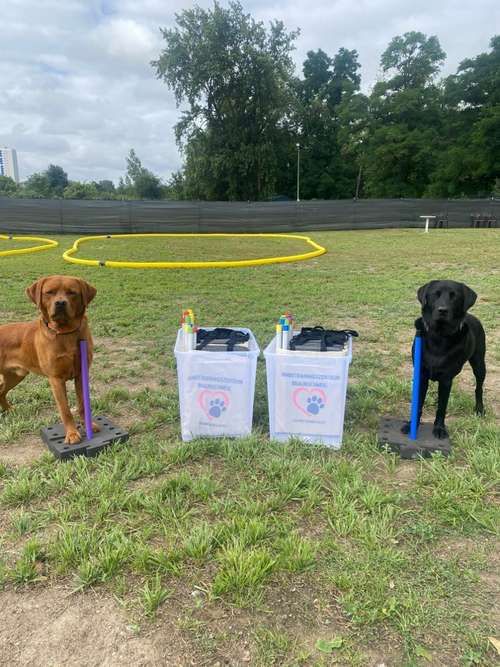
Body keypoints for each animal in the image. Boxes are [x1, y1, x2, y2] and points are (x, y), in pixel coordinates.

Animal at [0, 276, 99, 444]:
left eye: (72, 292)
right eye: (49, 292)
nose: (60, 303)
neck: (65, 333)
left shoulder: (81, 374)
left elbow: (82, 404)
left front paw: (88, 425)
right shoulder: (56, 379)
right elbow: (65, 410)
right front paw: (72, 434)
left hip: (15, 376)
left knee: (1, 392)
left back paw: (10, 410)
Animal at [402, 280, 488, 440]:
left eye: (454, 296)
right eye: (435, 294)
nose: (443, 310)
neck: (439, 337)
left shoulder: (446, 379)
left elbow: (442, 407)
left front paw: (439, 428)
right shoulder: (421, 376)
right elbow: (418, 404)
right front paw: (411, 425)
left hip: (479, 364)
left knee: (478, 388)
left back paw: (479, 409)